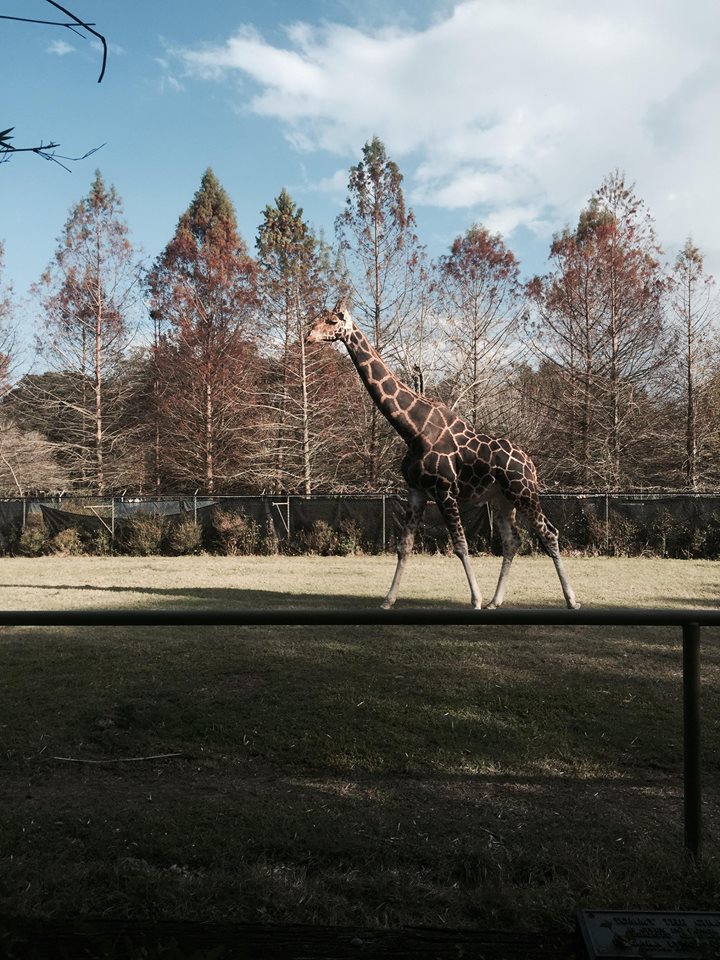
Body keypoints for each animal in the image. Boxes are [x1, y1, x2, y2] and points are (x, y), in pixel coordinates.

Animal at [306, 301, 579, 610]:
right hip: (501, 500)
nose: (309, 336)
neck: (413, 429)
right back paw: (496, 601)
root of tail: (531, 463)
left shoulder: (445, 490)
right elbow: (404, 546)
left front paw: (475, 599)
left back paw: (571, 600)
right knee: (512, 542)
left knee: (549, 533)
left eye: (332, 320)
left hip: (524, 492)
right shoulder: (416, 491)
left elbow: (460, 545)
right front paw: (388, 600)